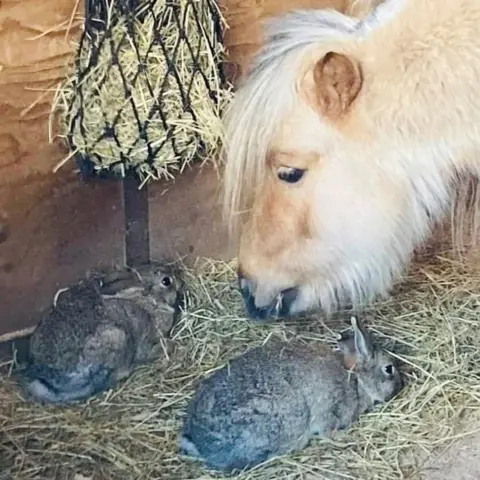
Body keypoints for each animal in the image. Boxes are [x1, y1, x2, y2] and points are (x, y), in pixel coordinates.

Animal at [16, 262, 182, 404]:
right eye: (166, 281)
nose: (179, 281)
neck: (148, 302)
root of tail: (49, 377)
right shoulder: (146, 342)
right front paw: (171, 345)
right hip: (116, 337)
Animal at [178, 316, 404, 470]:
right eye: (389, 369)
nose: (400, 386)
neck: (356, 380)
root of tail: (199, 442)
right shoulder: (329, 408)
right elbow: (327, 430)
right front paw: (342, 437)